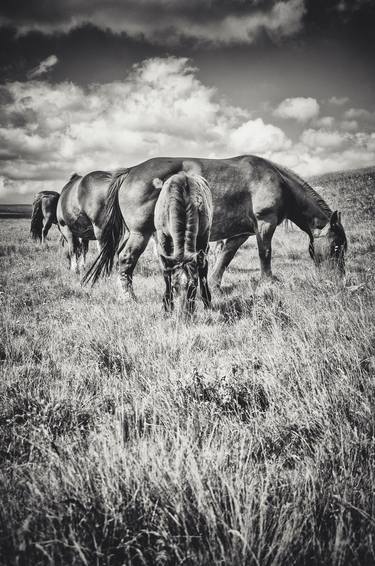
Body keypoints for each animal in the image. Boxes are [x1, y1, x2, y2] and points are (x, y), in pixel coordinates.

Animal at [83, 155, 350, 298]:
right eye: (337, 247)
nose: (338, 279)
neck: (278, 181)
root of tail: (129, 172)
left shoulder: (240, 234)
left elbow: (225, 258)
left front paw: (214, 284)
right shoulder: (265, 222)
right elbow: (265, 253)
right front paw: (268, 283)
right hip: (141, 233)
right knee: (126, 258)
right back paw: (128, 296)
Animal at [153, 171, 213, 318]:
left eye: (194, 285)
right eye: (175, 286)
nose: (184, 315)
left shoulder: (203, 237)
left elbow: (203, 269)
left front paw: (207, 303)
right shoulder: (162, 238)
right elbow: (166, 272)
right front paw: (167, 307)